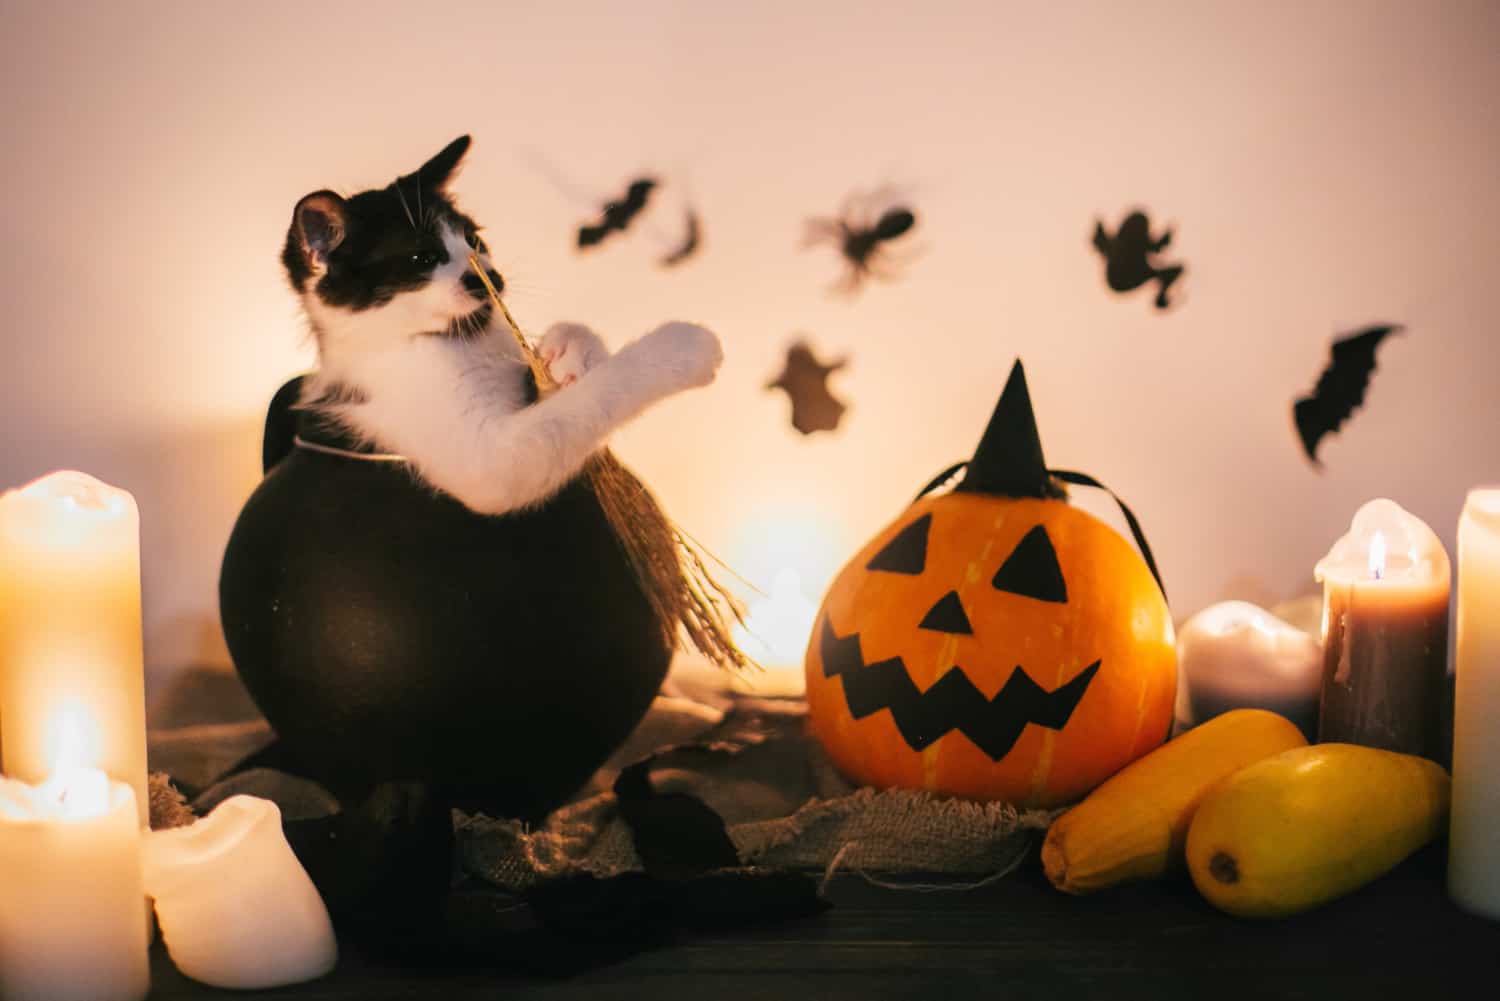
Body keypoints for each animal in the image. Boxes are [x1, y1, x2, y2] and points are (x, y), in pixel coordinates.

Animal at [286, 135, 726, 513]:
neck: (461, 340)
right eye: (422, 258)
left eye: (473, 240)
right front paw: (684, 345)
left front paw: (569, 350)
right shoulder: (489, 462)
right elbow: (587, 403)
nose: (491, 277)